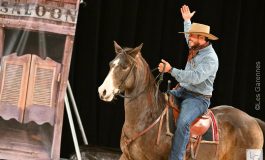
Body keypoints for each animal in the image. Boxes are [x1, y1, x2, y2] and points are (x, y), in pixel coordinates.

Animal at [98, 42, 262, 159]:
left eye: (125, 67)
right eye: (111, 64)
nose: (103, 91)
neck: (147, 118)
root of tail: (253, 120)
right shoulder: (126, 156)